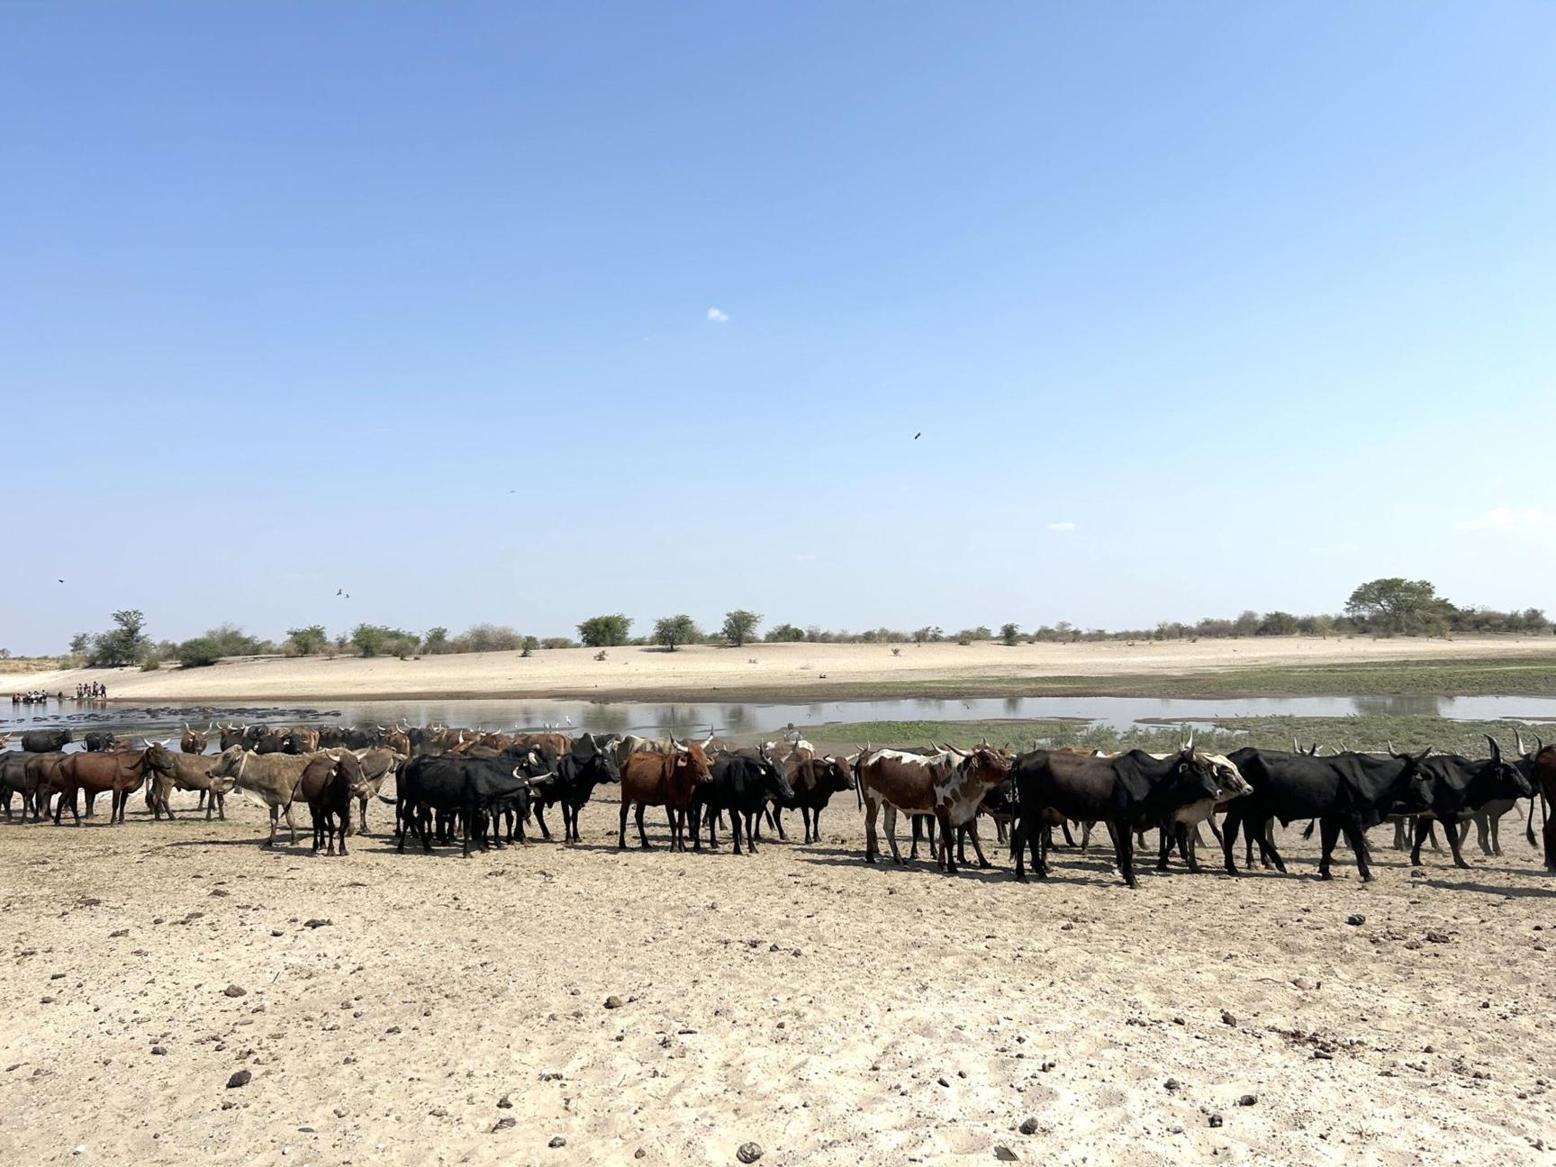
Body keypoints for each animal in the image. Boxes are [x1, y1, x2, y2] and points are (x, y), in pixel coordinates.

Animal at [857, 745, 1012, 873]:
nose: (1009, 769)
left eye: (998, 754)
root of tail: (869, 757)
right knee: (869, 823)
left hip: (888, 803)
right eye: (986, 758)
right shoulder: (942, 811)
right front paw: (952, 867)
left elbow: (943, 839)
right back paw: (870, 856)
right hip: (873, 800)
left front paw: (942, 863)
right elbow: (949, 840)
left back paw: (898, 858)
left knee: (888, 828)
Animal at [1011, 746, 1225, 887]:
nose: (1218, 792)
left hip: (1039, 813)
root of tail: (1023, 759)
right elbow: (1127, 849)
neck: (1149, 779)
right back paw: (1021, 875)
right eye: (1199, 769)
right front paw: (1132, 879)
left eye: (1209, 769)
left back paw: (1040, 871)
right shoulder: (1124, 820)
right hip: (1030, 810)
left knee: (1032, 837)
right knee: (1021, 836)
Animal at [1222, 746, 1431, 881]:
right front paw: (1366, 873)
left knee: (1254, 831)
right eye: (1418, 775)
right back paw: (1232, 867)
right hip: (1240, 806)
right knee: (1231, 829)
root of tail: (1234, 756)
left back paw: (1277, 863)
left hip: (1258, 809)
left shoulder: (1333, 817)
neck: (1367, 775)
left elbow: (1329, 843)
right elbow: (1357, 844)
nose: (1429, 798)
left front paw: (1326, 871)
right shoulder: (1352, 816)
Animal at [1404, 737, 1534, 868]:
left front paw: (1415, 859)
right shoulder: (1449, 817)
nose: (1529, 788)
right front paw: (1462, 861)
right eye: (1512, 771)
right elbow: (1454, 837)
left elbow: (1420, 835)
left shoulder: (1427, 815)